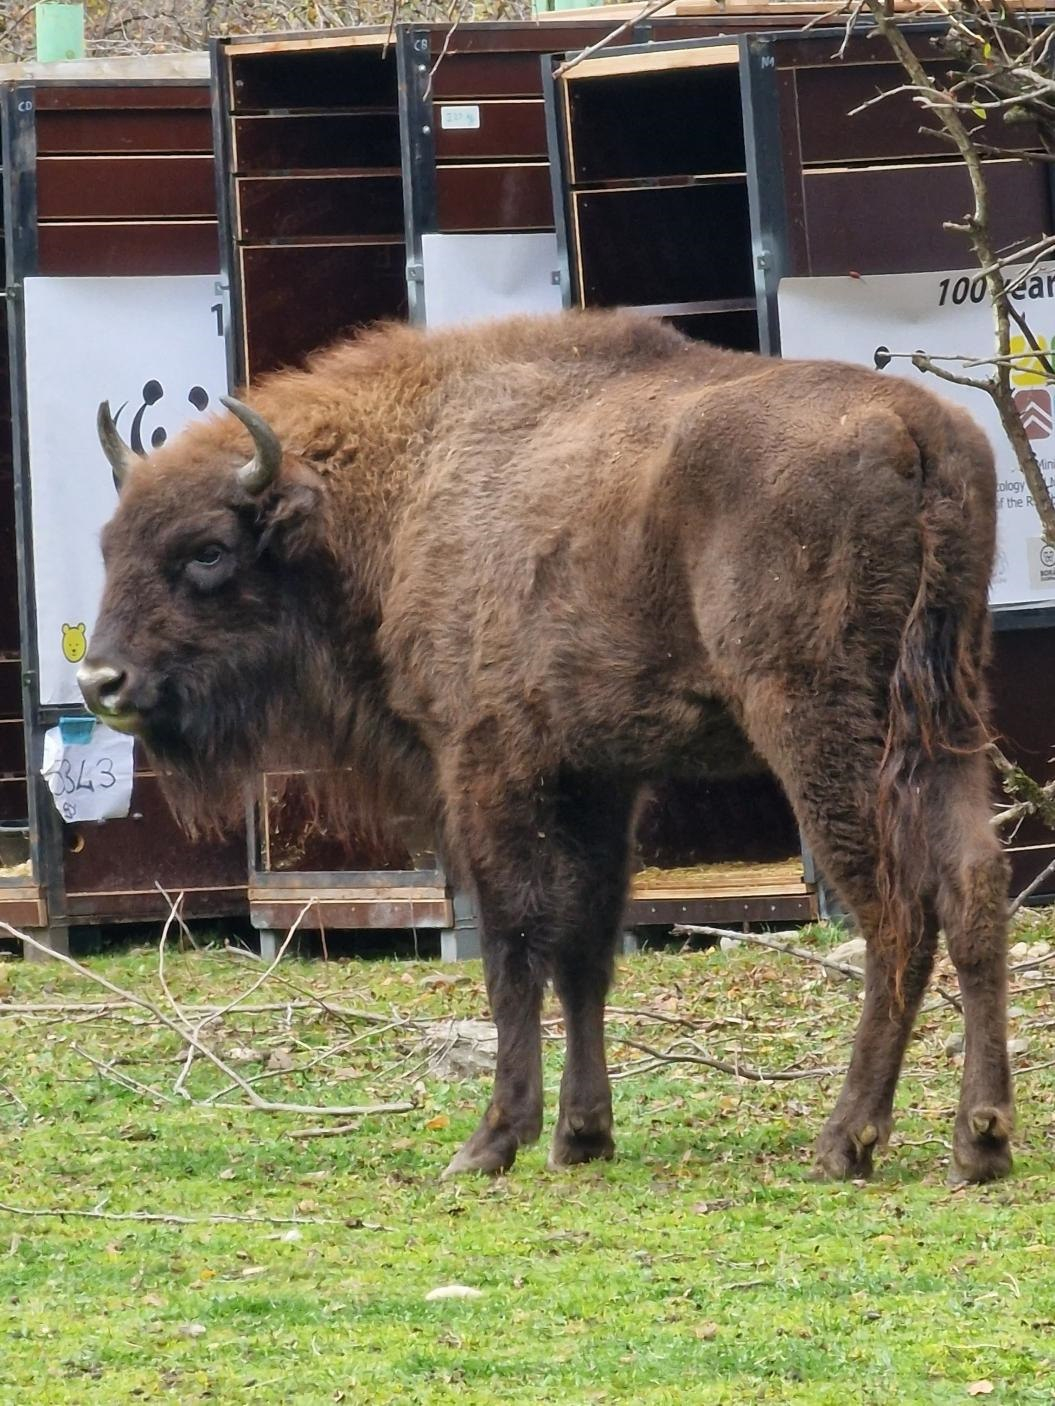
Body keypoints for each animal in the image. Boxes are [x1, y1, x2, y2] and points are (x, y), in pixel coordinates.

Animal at [80, 310, 1018, 1186]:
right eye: (109, 546)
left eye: (207, 551)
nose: (100, 681)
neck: (407, 486)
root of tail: (917, 431)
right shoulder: (596, 779)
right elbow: (583, 952)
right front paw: (582, 1134)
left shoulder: (487, 767)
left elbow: (514, 948)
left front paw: (492, 1139)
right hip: (948, 717)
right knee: (972, 885)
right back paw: (979, 1139)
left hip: (820, 727)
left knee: (895, 910)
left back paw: (844, 1141)